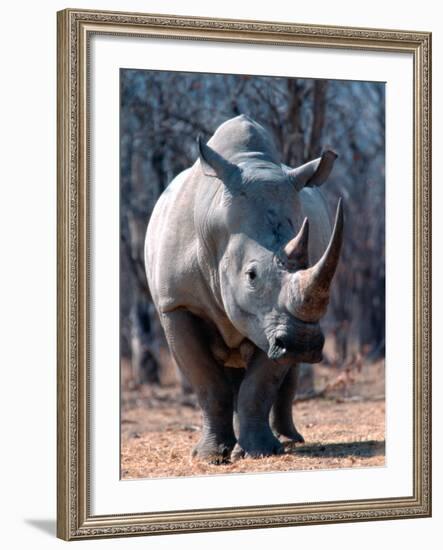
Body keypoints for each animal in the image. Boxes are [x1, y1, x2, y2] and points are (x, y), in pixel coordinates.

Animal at [146, 114, 344, 464]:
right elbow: (207, 381)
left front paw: (259, 452)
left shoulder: (273, 320)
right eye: (251, 275)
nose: (302, 344)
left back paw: (287, 440)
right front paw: (210, 456)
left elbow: (260, 384)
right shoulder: (175, 304)